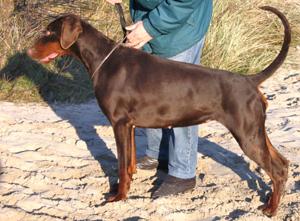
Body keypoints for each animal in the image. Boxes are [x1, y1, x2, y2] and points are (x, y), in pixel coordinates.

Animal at [27, 6, 290, 217]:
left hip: (247, 134)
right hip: (256, 131)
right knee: (284, 163)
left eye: (49, 32)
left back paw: (271, 209)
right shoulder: (129, 125)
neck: (103, 59)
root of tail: (249, 80)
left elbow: (121, 165)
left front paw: (118, 197)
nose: (28, 53)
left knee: (276, 170)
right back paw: (271, 200)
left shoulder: (119, 123)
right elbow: (129, 163)